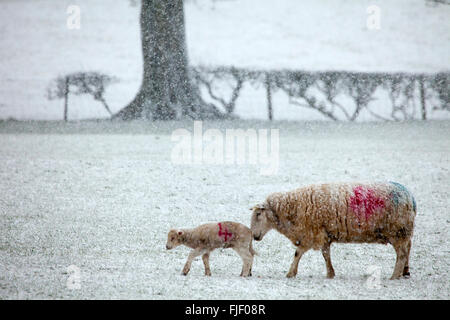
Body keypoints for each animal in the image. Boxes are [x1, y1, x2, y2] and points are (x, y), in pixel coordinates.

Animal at [250, 181, 414, 278]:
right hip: (403, 232)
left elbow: (298, 253)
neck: (292, 208)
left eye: (258, 214)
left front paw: (290, 273)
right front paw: (330, 273)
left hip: (397, 231)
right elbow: (325, 254)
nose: (254, 236)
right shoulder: (324, 234)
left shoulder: (311, 234)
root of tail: (410, 198)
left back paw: (394, 276)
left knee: (401, 254)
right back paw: (405, 271)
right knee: (408, 248)